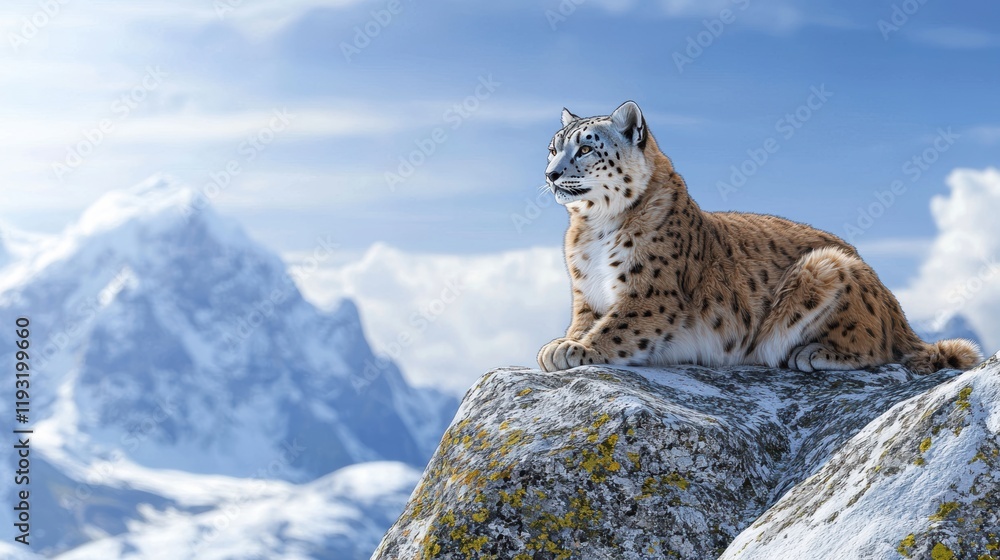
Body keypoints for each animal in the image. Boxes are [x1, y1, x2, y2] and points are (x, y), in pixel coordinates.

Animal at [537, 100, 981, 375]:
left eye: (586, 149)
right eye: (553, 148)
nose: (551, 174)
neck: (593, 227)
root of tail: (896, 307)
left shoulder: (650, 294)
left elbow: (618, 327)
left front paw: (574, 350)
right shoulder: (586, 294)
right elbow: (584, 322)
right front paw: (560, 343)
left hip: (826, 266)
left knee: (878, 345)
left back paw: (814, 353)